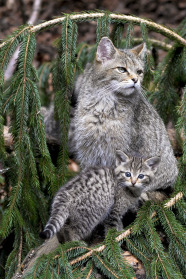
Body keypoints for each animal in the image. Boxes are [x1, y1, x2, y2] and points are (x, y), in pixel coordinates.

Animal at [73, 37, 178, 194]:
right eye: (122, 69)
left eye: (139, 71)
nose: (136, 80)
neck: (104, 103)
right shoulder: (88, 149)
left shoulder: (119, 151)